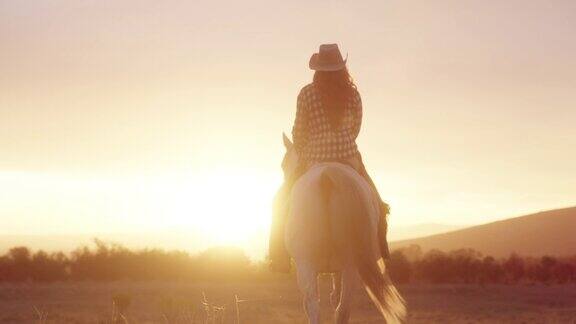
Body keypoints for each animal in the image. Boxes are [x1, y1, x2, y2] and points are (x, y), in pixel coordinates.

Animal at [282, 134, 408, 324]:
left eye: (283, 164)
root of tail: (327, 175)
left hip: (310, 264)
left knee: (318, 306)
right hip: (348, 265)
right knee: (341, 308)